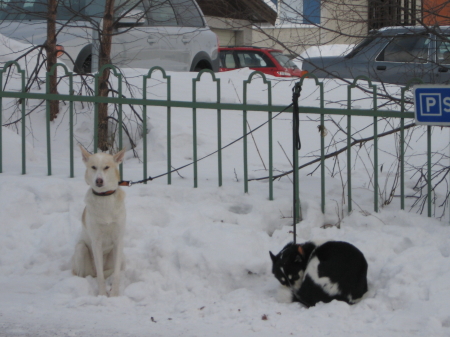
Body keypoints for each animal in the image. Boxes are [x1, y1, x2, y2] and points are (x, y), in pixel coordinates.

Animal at [71, 146, 126, 296]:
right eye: (93, 167)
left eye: (106, 167)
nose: (99, 181)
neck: (104, 197)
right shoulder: (96, 242)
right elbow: (101, 276)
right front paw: (102, 294)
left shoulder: (118, 240)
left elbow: (117, 274)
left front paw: (114, 294)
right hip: (81, 248)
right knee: (86, 274)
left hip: (119, 255)